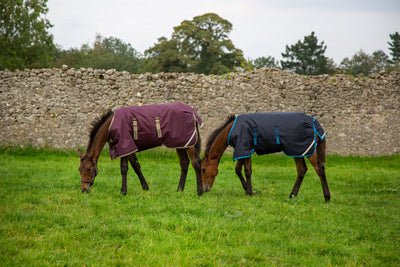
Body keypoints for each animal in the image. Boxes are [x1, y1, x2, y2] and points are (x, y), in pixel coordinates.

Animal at [202, 112, 330, 202]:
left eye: (203, 169)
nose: (204, 189)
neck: (232, 128)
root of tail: (314, 122)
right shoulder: (243, 150)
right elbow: (238, 169)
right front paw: (249, 190)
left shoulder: (246, 148)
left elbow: (247, 171)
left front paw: (249, 192)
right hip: (298, 151)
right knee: (302, 170)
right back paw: (292, 196)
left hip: (307, 150)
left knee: (319, 168)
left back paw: (327, 197)